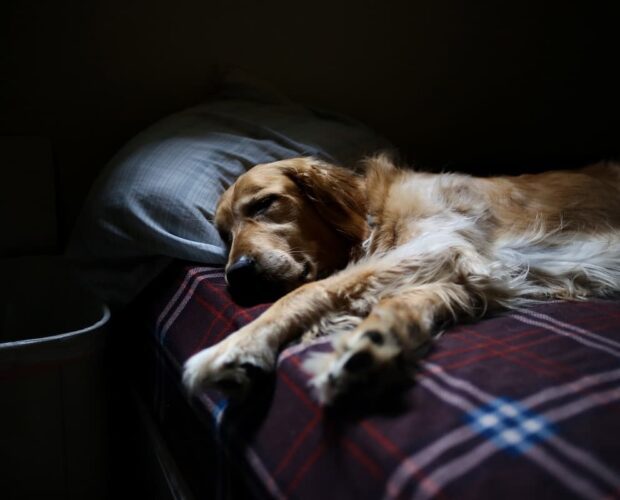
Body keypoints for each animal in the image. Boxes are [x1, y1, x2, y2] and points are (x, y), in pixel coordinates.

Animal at [183, 155, 620, 402]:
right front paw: (374, 342)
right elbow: (403, 302)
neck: (374, 216)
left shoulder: (442, 242)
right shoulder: (471, 275)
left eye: (264, 204)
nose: (237, 276)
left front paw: (236, 347)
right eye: (224, 235)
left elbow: (309, 291)